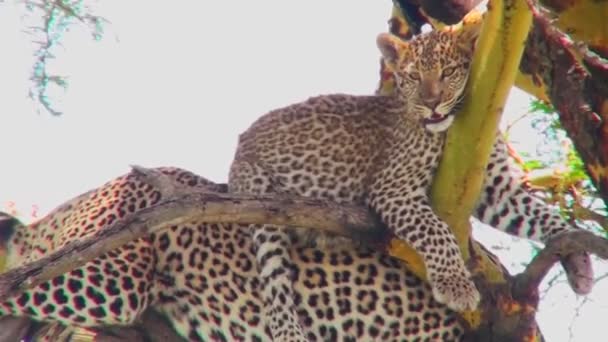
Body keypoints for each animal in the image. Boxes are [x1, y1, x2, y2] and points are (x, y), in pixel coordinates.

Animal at [228, 20, 592, 340]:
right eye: (413, 76)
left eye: (448, 72)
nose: (431, 103)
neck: (453, 128)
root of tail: (242, 138)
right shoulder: (394, 188)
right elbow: (437, 232)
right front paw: (456, 286)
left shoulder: (496, 189)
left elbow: (545, 215)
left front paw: (580, 262)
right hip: (260, 203)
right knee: (274, 282)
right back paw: (289, 331)